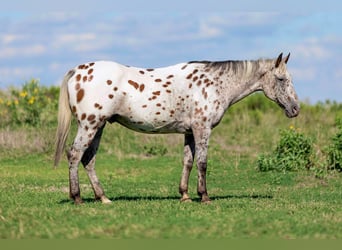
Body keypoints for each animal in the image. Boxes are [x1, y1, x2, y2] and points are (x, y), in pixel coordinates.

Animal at [54, 51, 300, 204]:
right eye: (281, 79)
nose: (295, 109)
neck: (214, 83)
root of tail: (77, 71)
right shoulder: (202, 129)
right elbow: (202, 163)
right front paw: (204, 196)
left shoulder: (190, 132)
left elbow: (188, 162)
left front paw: (185, 195)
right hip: (90, 124)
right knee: (75, 155)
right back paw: (77, 197)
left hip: (99, 126)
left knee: (88, 159)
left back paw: (103, 197)